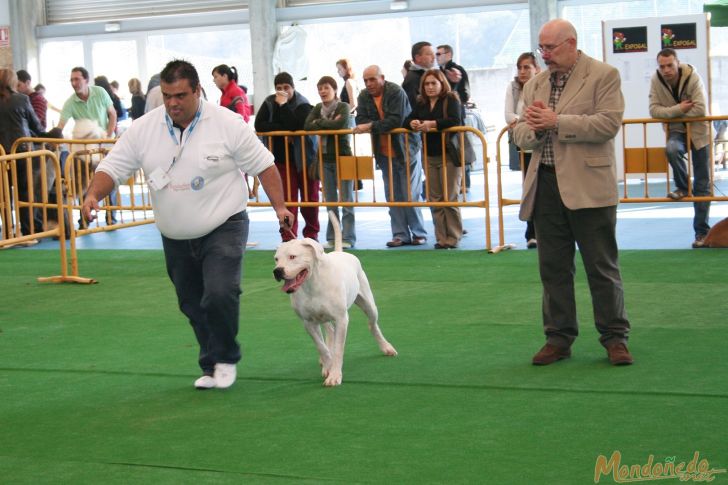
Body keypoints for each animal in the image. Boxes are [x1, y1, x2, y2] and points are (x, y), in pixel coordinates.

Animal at [272, 212, 398, 386]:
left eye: (292, 257)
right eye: (276, 259)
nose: (277, 271)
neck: (312, 283)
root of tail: (340, 251)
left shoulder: (341, 319)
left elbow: (338, 350)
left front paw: (335, 375)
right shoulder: (308, 323)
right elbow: (321, 347)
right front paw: (328, 365)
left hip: (369, 304)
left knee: (372, 324)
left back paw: (386, 347)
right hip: (321, 317)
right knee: (329, 332)